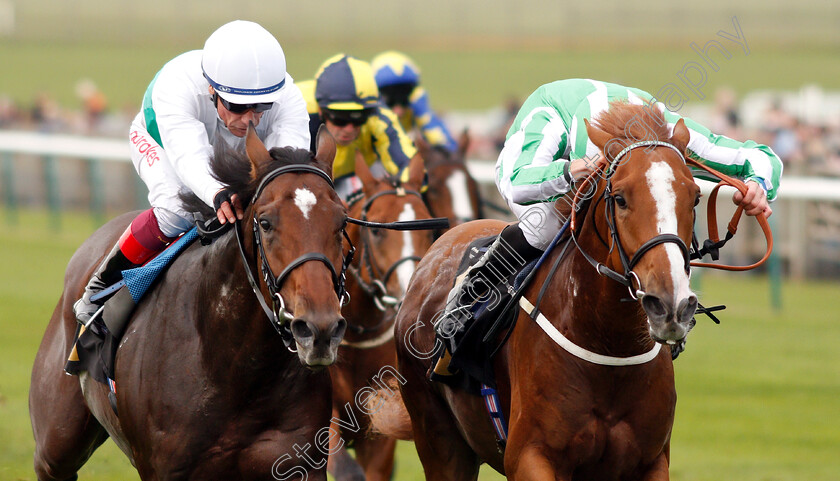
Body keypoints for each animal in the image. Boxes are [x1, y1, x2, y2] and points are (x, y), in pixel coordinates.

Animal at [30, 127, 352, 480]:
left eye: (341, 222)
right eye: (266, 223)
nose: (319, 330)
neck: (235, 369)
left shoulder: (298, 463)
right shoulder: (165, 469)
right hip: (56, 443)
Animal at [374, 103, 704, 478]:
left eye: (695, 198)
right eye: (620, 198)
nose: (670, 303)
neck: (610, 344)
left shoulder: (650, 461)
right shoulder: (530, 455)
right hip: (439, 440)